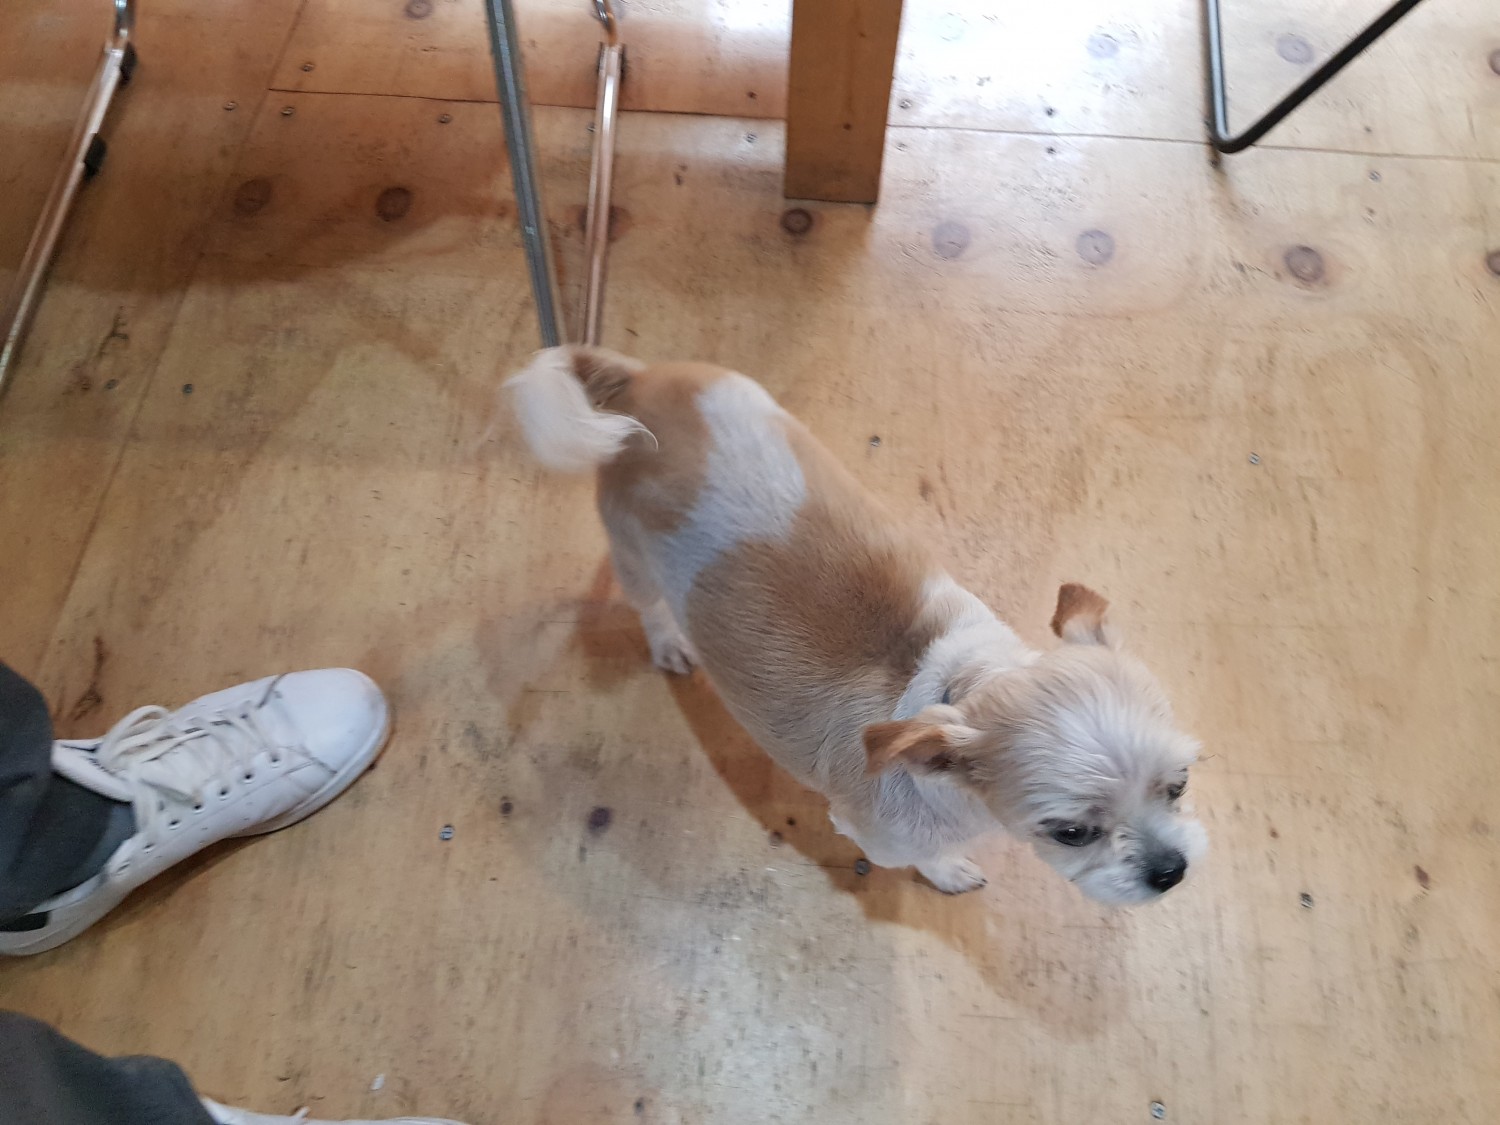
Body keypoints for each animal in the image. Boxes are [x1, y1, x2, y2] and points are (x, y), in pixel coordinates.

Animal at [507, 346, 1205, 904]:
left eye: (1180, 784)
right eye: (1070, 833)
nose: (1171, 871)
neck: (953, 683)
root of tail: (635, 379)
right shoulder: (877, 833)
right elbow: (921, 857)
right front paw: (948, 870)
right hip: (633, 556)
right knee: (649, 606)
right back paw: (669, 644)